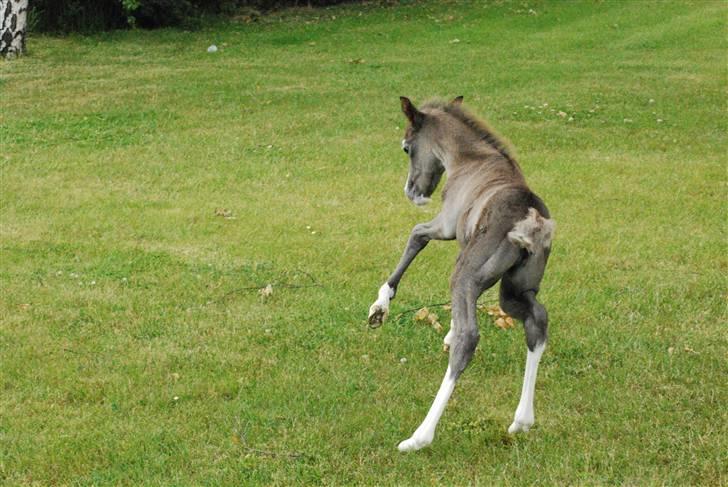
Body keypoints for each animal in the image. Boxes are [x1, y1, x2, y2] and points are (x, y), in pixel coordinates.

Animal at [368, 96, 555, 452]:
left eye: (406, 148)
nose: (413, 192)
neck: (470, 159)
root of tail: (530, 221)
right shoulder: (464, 248)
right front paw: (447, 331)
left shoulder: (447, 225)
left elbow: (416, 234)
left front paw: (380, 306)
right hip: (514, 291)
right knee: (536, 322)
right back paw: (522, 421)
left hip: (472, 276)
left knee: (469, 339)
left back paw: (419, 436)